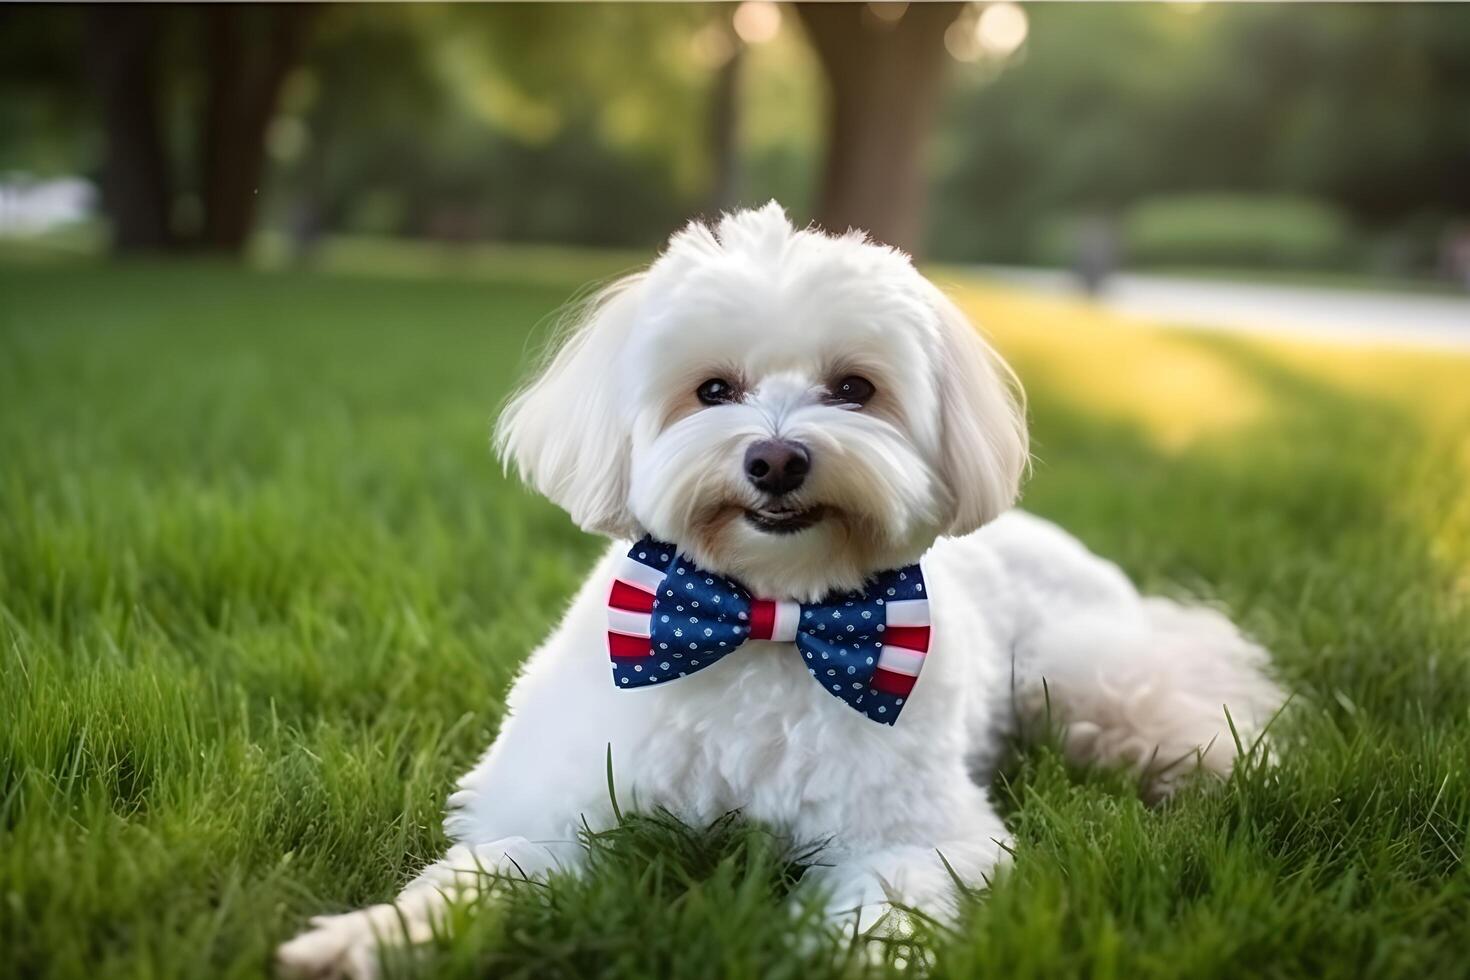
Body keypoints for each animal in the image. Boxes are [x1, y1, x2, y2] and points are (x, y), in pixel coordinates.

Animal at [277, 202, 1287, 975]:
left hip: (1081, 675)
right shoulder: (564, 810)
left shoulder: (917, 837)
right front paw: (367, 939)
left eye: (855, 388)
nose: (776, 458)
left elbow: (882, 915)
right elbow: (481, 873)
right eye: (713, 389)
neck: (772, 615)